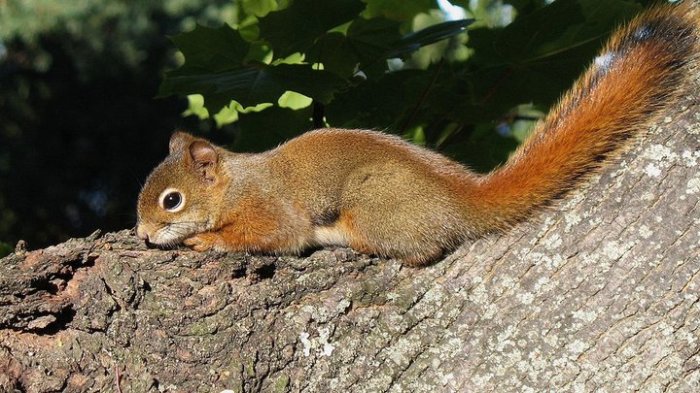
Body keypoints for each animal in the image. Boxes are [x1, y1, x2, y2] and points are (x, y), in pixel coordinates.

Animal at [137, 1, 700, 264]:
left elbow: (273, 236)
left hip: (373, 202)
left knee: (424, 247)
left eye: (171, 200)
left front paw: (206, 240)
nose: (142, 235)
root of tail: (460, 199)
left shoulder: (267, 207)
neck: (235, 182)